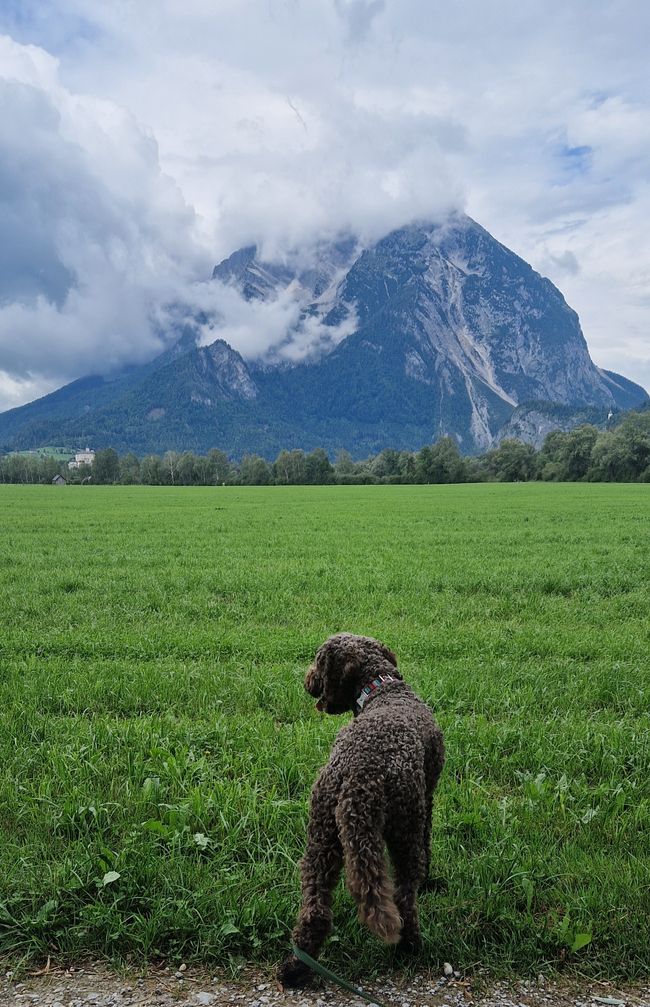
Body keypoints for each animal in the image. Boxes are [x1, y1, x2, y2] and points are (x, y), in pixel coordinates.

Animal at [276, 632, 443, 986]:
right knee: (405, 896)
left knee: (315, 907)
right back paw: (409, 946)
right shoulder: (428, 797)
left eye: (318, 661)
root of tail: (357, 777)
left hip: (321, 834)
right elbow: (428, 843)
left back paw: (297, 967)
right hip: (405, 825)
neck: (382, 689)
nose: (307, 680)